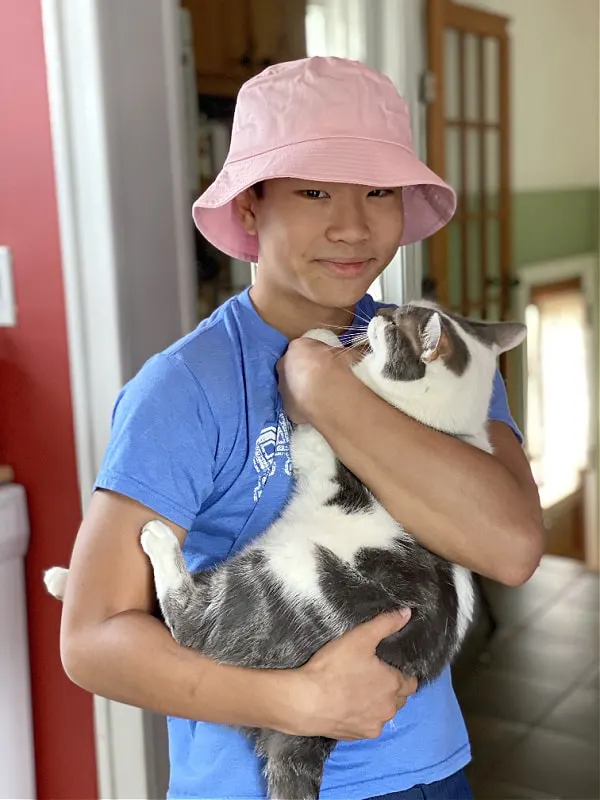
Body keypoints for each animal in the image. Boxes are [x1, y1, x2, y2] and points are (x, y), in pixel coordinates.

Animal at [45, 300, 524, 800]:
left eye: (396, 323)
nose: (383, 311)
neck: (436, 424)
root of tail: (306, 738)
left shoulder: (320, 447)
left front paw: (321, 341)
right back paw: (63, 579)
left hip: (285, 578)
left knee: (190, 621)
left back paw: (156, 542)